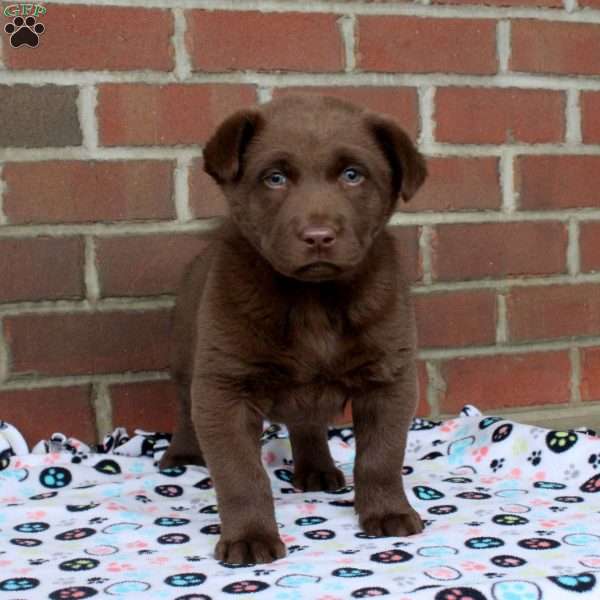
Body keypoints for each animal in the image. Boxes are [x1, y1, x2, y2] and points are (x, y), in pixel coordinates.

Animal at [161, 94, 426, 564]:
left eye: (353, 175)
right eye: (275, 178)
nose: (318, 235)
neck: (312, 300)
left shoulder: (389, 379)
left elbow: (382, 456)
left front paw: (388, 512)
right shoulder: (224, 389)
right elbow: (240, 474)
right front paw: (250, 537)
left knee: (308, 422)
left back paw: (317, 469)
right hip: (185, 356)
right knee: (184, 406)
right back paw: (182, 454)